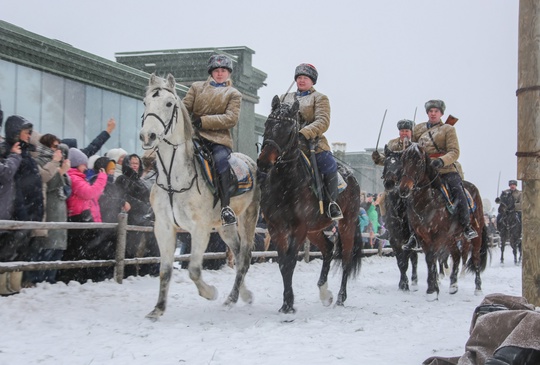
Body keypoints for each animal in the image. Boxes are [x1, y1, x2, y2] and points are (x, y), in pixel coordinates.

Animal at [138, 72, 258, 318]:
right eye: (145, 102)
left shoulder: (199, 229)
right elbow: (165, 270)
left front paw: (210, 292)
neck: (174, 178)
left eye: (169, 103)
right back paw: (244, 294)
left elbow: (193, 269)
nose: (148, 136)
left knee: (244, 257)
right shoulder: (164, 227)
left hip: (247, 219)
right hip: (225, 227)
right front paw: (158, 309)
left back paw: (231, 298)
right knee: (238, 253)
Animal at [258, 95, 362, 312]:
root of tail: (351, 176)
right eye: (268, 124)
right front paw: (286, 303)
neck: (285, 183)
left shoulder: (299, 228)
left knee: (346, 258)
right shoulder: (276, 228)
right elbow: (283, 263)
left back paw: (340, 297)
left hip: (346, 223)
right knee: (328, 249)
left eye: (289, 129)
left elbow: (290, 262)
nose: (263, 162)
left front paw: (289, 304)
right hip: (314, 230)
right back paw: (324, 293)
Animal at [396, 142, 490, 298]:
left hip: (476, 235)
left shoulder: (438, 235)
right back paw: (453, 285)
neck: (427, 201)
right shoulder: (422, 236)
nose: (403, 189)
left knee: (475, 258)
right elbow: (430, 260)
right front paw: (433, 288)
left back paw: (478, 288)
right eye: (403, 160)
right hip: (453, 237)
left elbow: (433, 257)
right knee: (457, 257)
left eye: (419, 162)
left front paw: (432, 290)